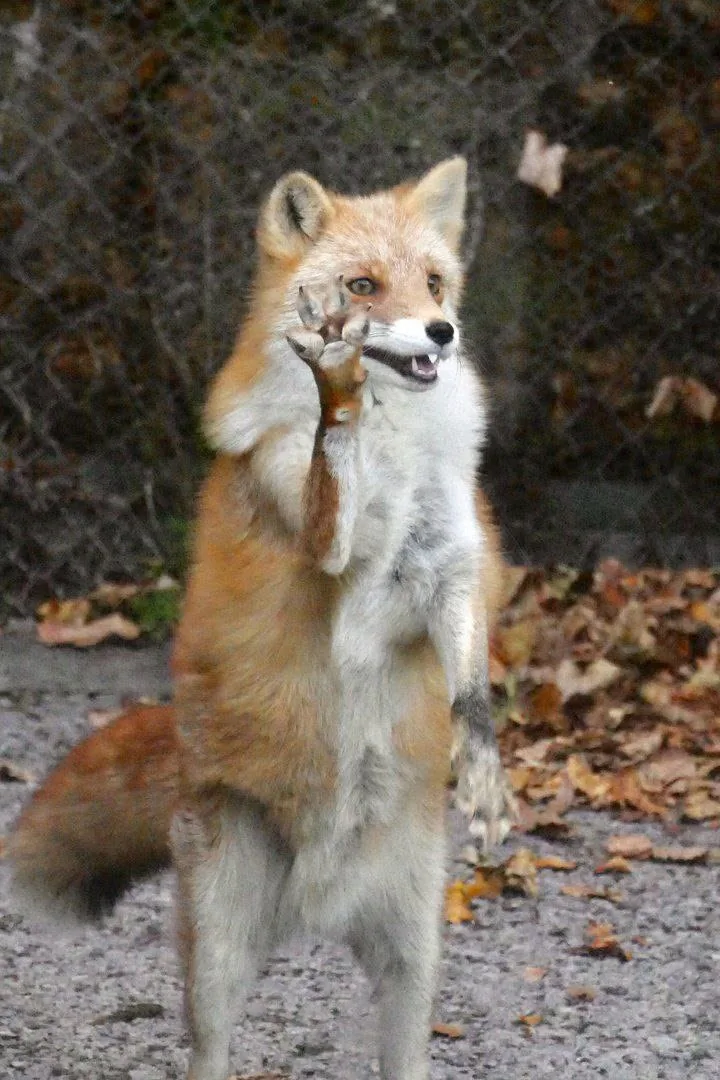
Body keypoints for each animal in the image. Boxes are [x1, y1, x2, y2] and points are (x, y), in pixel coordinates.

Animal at [8, 157, 514, 1080]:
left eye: (433, 281)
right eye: (362, 285)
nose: (442, 331)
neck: (400, 455)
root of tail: (318, 910)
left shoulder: (449, 569)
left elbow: (469, 685)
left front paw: (486, 772)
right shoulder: (325, 545)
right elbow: (330, 486)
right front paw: (338, 393)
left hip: (414, 962)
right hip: (217, 959)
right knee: (207, 1053)